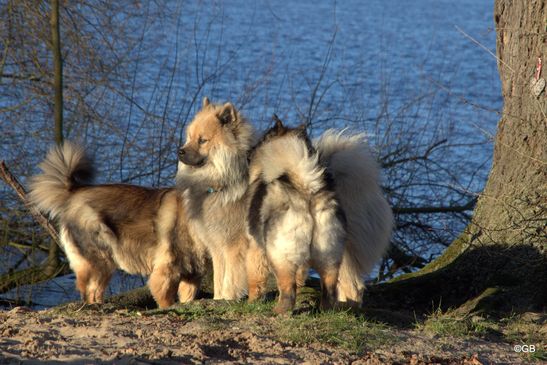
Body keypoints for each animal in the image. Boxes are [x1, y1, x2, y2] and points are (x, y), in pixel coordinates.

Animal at [28, 142, 208, 308]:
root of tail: (75, 192)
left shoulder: (192, 278)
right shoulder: (164, 276)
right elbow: (166, 301)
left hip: (105, 264)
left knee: (95, 291)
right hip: (99, 258)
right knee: (88, 290)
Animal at [246, 116, 344, 312]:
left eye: (262, 140)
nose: (248, 154)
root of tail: (306, 188)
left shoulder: (255, 246)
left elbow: (255, 278)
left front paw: (252, 301)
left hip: (279, 254)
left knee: (287, 287)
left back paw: (280, 311)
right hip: (329, 255)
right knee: (329, 287)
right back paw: (326, 309)